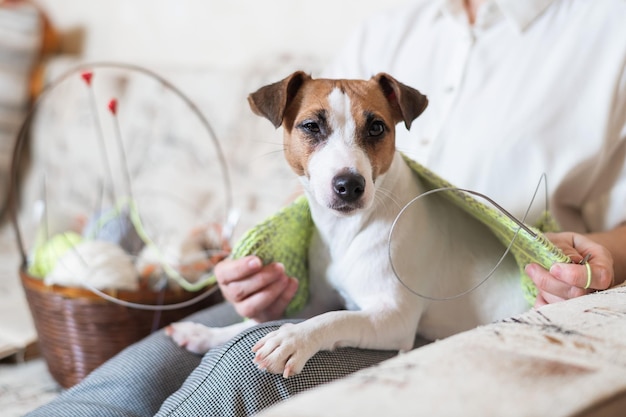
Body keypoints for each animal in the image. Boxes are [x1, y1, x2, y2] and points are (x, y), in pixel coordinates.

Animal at [166, 71, 528, 376]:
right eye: (311, 126)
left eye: (377, 128)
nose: (350, 185)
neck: (345, 231)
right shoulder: (315, 300)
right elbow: (262, 322)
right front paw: (205, 334)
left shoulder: (393, 318)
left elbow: (335, 318)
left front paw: (293, 339)